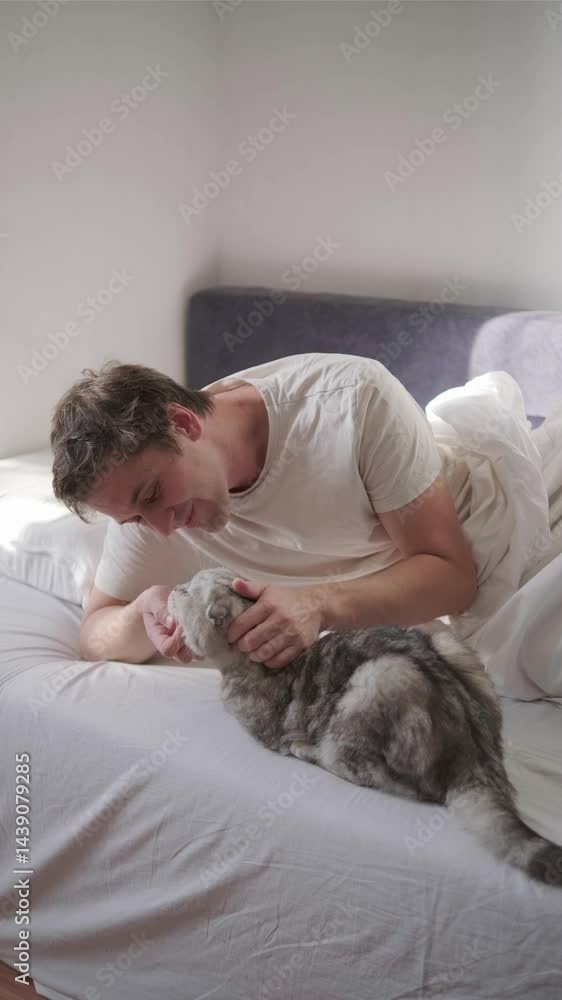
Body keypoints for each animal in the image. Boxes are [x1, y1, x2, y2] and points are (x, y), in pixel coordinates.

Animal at [168, 567, 562, 888]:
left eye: (186, 591)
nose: (170, 588)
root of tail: (479, 757)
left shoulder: (262, 726)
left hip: (378, 680)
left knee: (393, 782)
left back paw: (310, 750)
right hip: (449, 646)